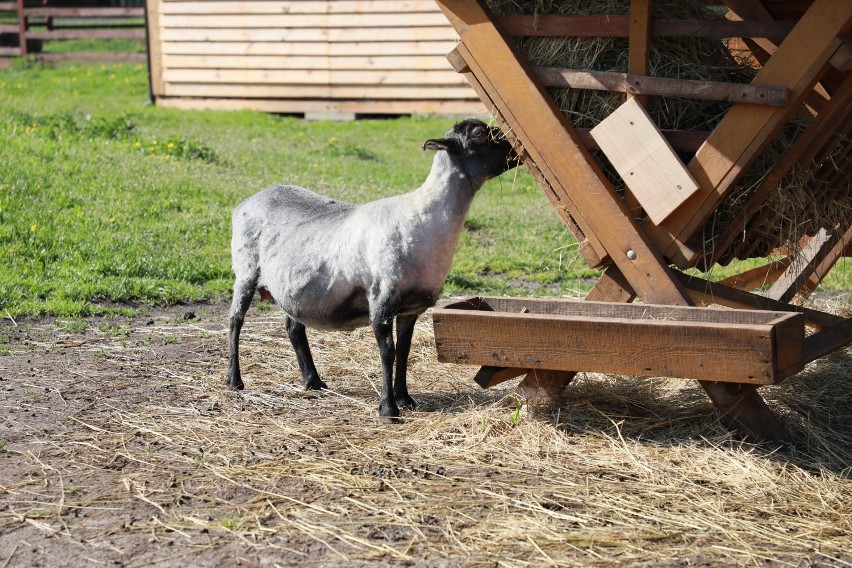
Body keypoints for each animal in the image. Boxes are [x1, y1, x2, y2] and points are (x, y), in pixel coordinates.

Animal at [226, 120, 520, 420]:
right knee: (235, 320)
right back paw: (235, 380)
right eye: (479, 133)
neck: (426, 217)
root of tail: (246, 202)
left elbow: (404, 352)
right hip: (245, 270)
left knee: (294, 327)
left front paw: (405, 398)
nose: (516, 149)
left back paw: (313, 381)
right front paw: (388, 409)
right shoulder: (381, 301)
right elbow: (387, 353)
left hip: (293, 289)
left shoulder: (411, 308)